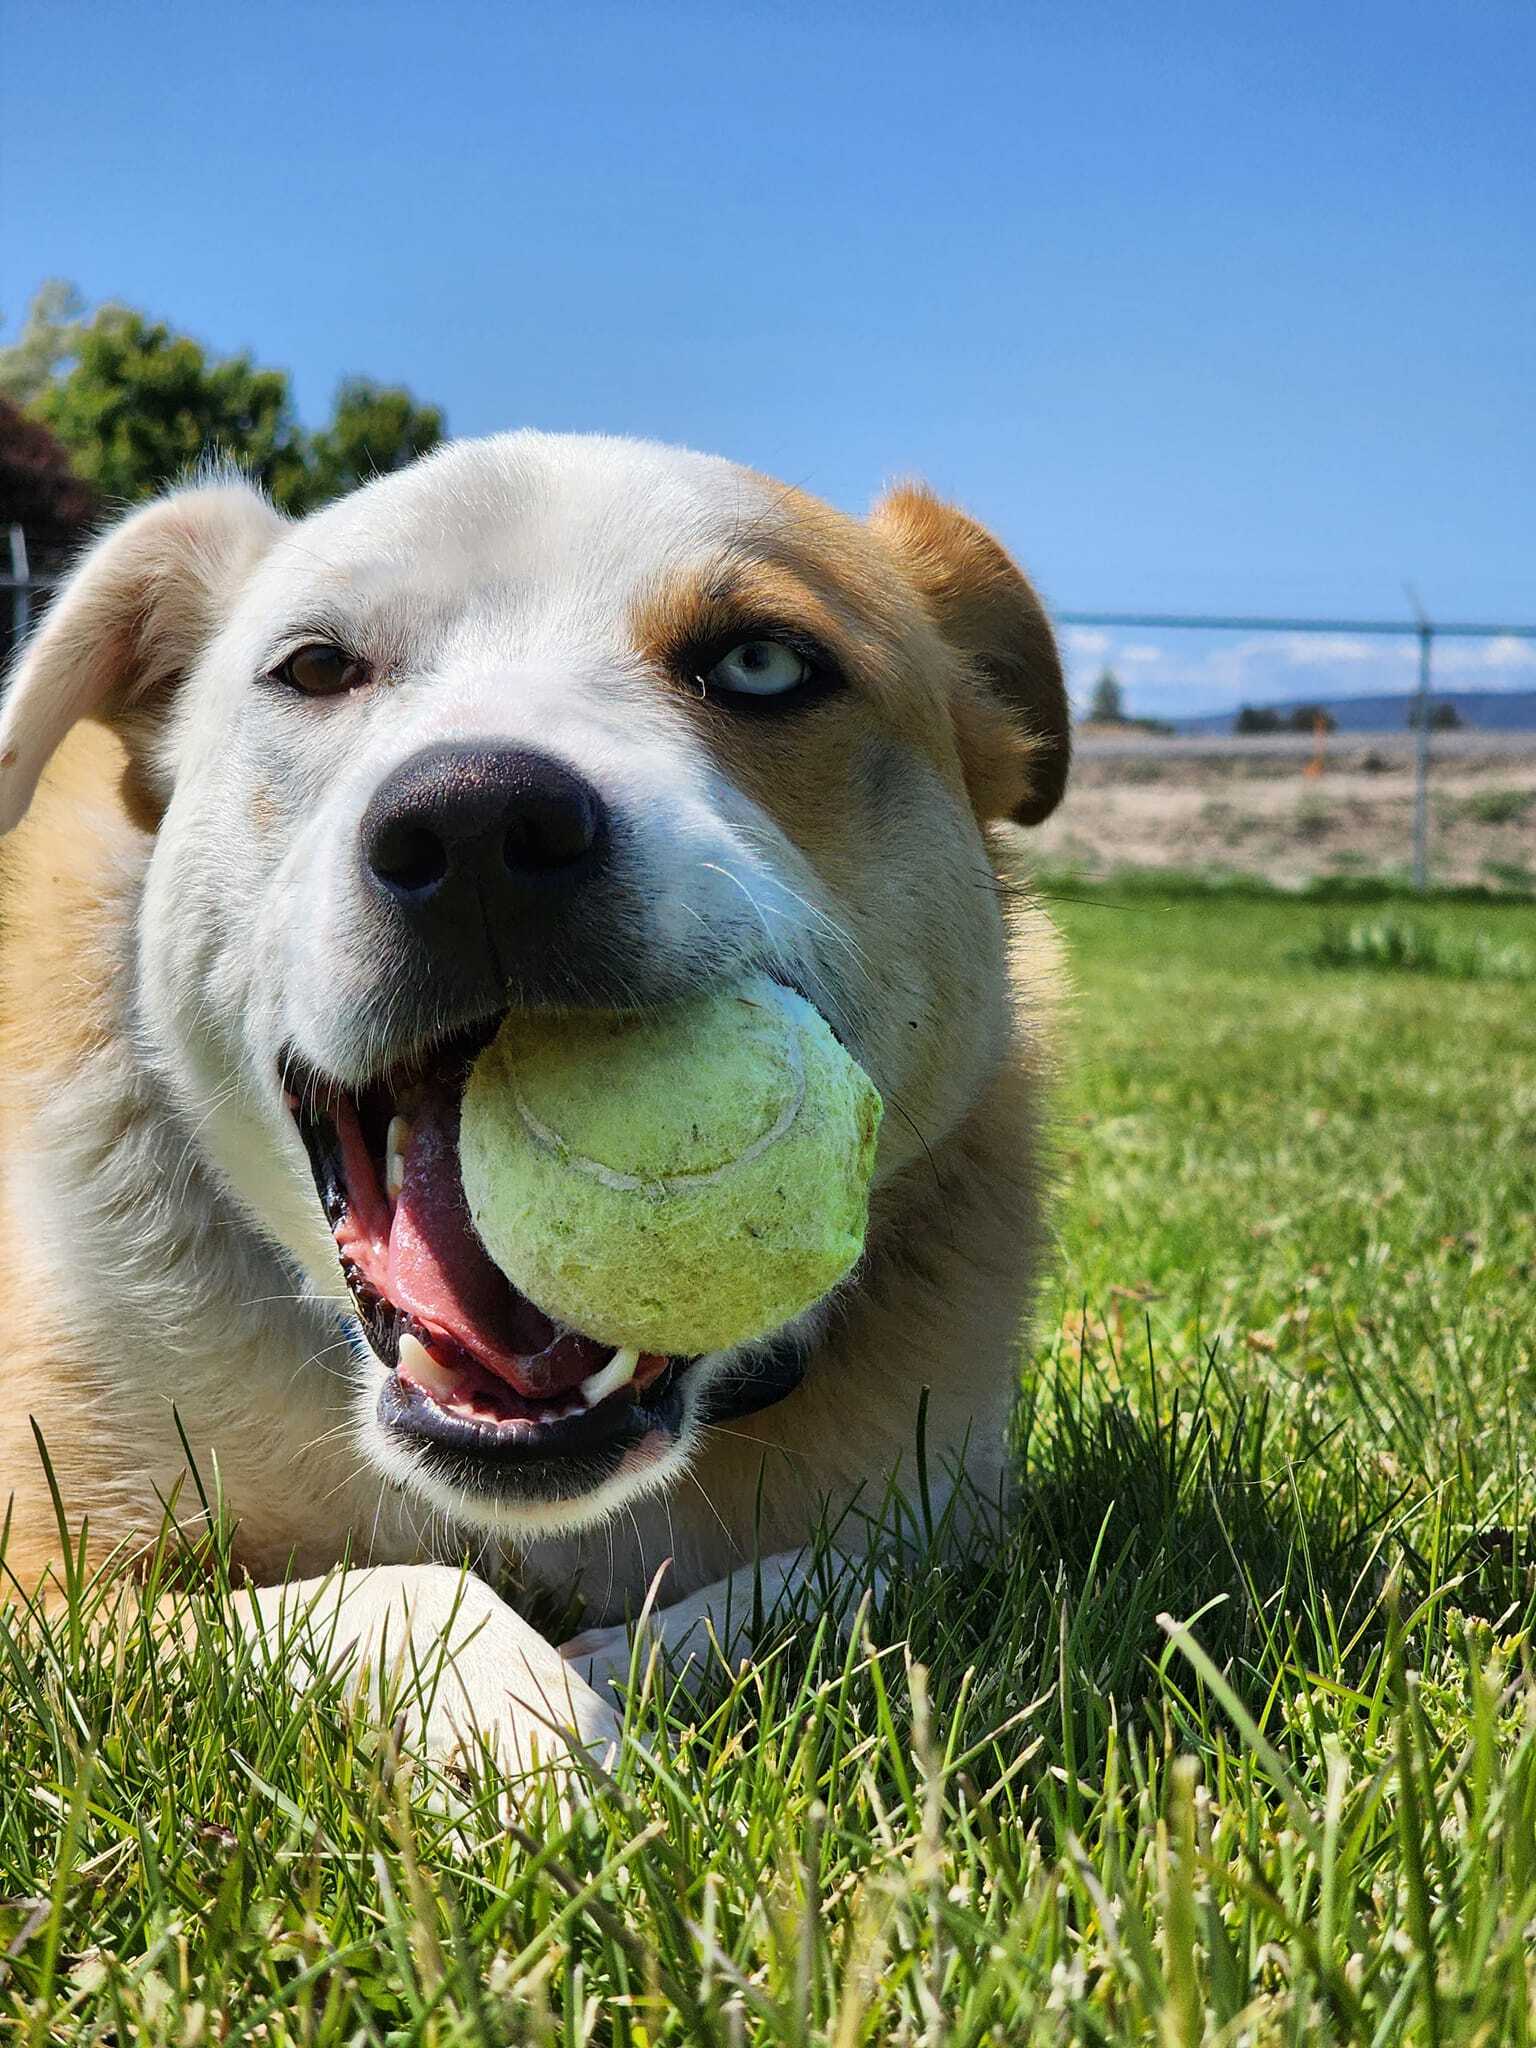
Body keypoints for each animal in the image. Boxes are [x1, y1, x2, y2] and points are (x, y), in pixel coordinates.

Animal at [0, 436, 1073, 1777]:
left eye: (763, 663)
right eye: (316, 666)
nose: (476, 822)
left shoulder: (957, 1520)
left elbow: (842, 1583)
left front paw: (621, 1669)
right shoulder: (45, 1579)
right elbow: (403, 1589)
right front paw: (529, 1736)